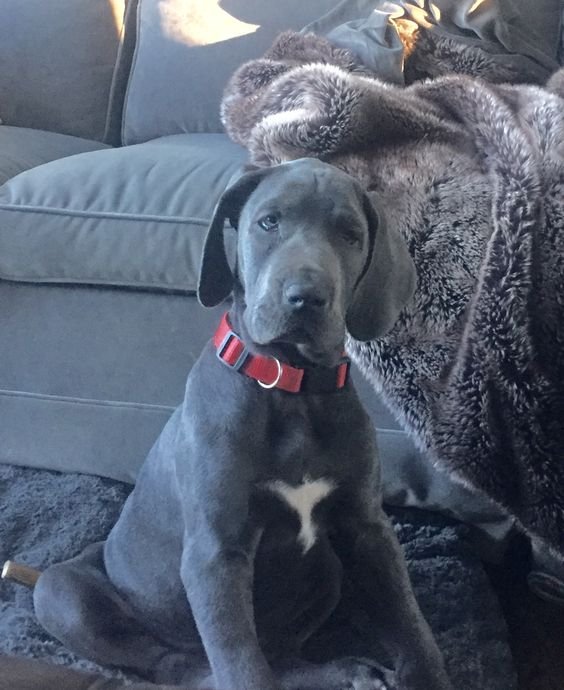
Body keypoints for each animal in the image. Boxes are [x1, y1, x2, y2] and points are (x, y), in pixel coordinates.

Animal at [33, 157, 452, 688]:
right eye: (268, 222)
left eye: (350, 235)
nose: (306, 296)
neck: (292, 386)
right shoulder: (217, 551)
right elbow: (241, 662)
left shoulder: (367, 529)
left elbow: (412, 626)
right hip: (58, 589)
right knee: (178, 663)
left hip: (328, 569)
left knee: (281, 658)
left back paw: (348, 671)